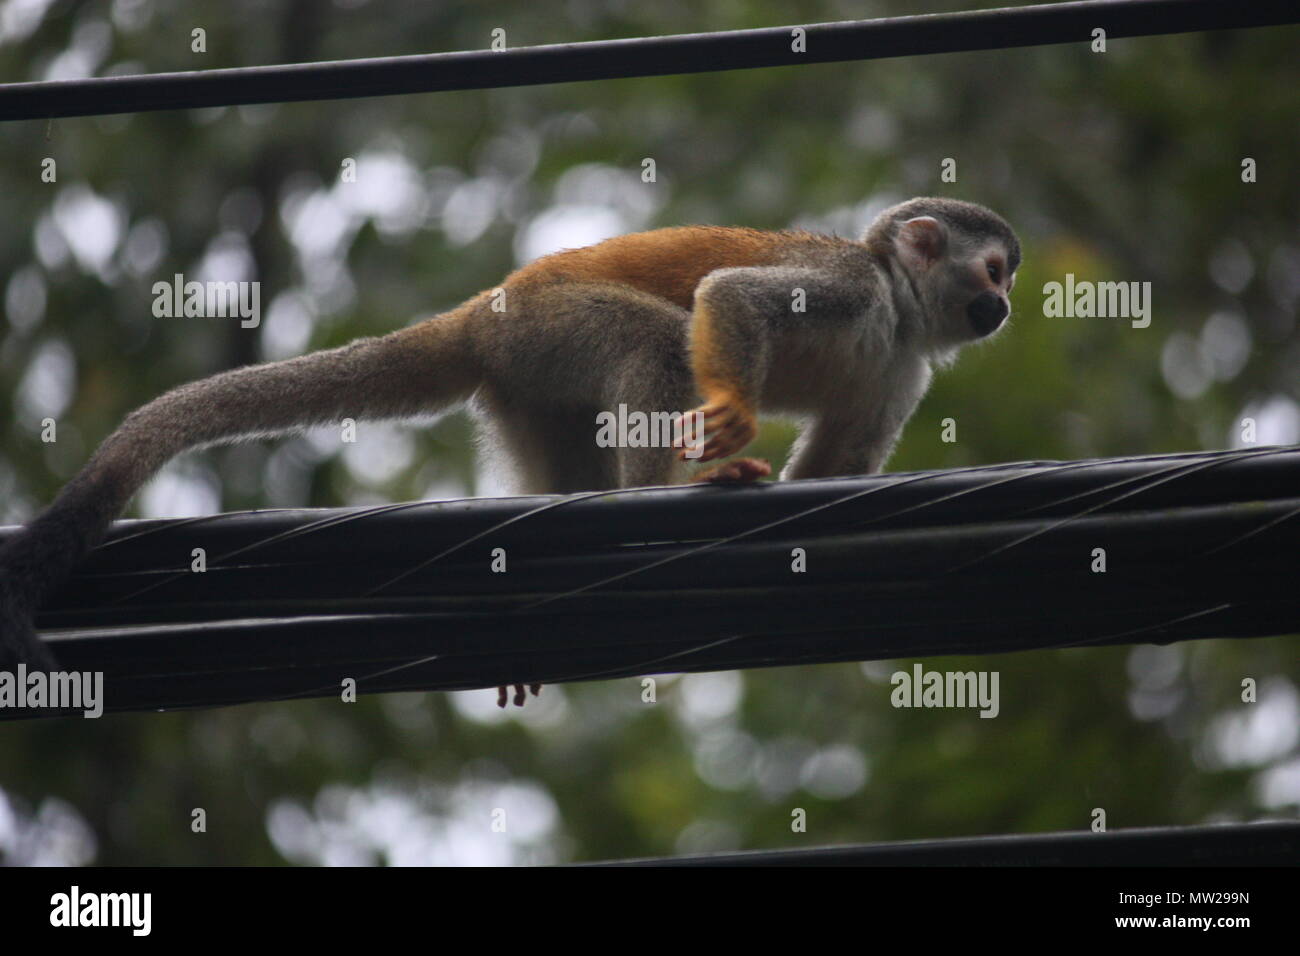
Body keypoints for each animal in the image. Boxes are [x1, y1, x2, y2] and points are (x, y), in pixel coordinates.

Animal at [0, 196, 1013, 702]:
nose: (1003, 305)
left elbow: (834, 469)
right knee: (656, 342)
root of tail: (482, 311)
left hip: (526, 383)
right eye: (996, 268)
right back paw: (656, 492)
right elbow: (732, 296)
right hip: (549, 325)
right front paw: (729, 414)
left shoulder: (905, 366)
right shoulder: (848, 285)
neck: (898, 307)